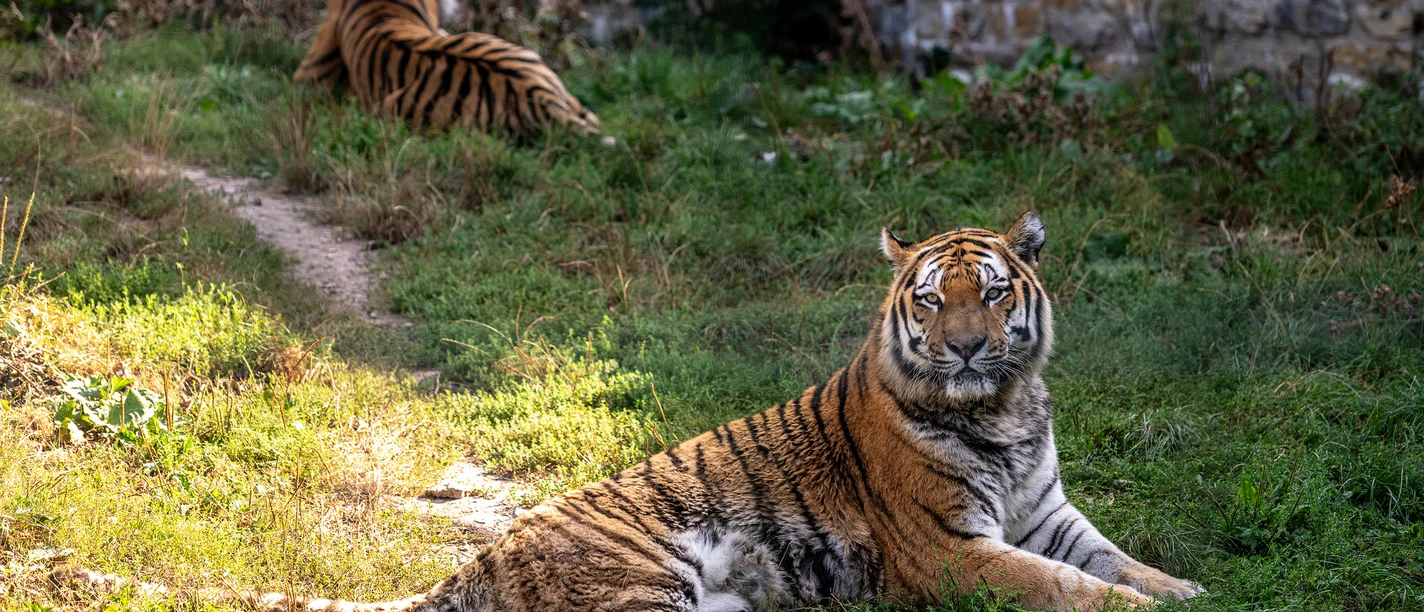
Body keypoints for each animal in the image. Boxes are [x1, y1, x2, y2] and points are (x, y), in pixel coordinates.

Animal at [53, 213, 1203, 611]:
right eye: (930, 299)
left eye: (994, 292)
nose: (963, 345)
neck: (1001, 409)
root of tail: (476, 558)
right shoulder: (952, 548)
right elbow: (1067, 589)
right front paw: (1149, 611)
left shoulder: (1046, 511)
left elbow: (1119, 562)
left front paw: (1186, 588)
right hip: (644, 585)